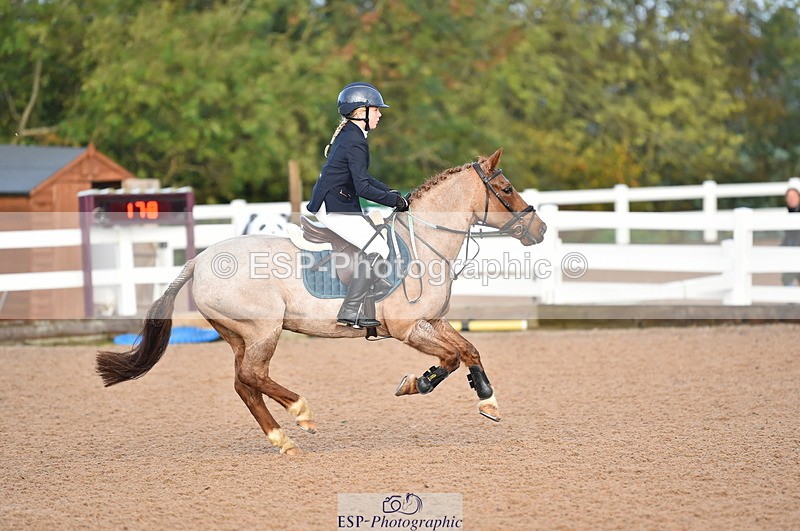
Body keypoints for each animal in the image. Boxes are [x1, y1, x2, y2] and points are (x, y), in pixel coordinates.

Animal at [96, 148, 547, 455]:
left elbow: (469, 349)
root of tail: (199, 260)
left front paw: (487, 400)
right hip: (263, 330)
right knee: (253, 376)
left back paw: (282, 440)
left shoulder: (432, 323)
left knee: (244, 383)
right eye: (506, 189)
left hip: (239, 335)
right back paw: (300, 413)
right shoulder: (408, 329)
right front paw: (417, 383)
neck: (425, 242)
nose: (540, 229)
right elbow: (451, 358)